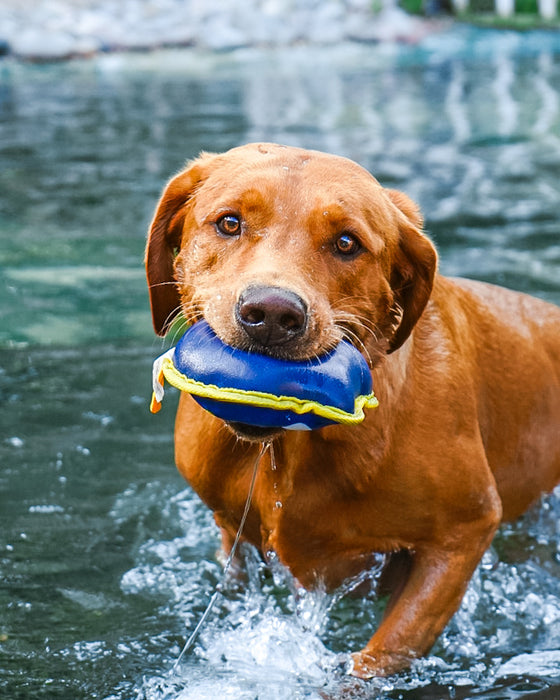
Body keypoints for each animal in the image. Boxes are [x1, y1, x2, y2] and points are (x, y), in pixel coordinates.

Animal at [145, 144, 560, 680]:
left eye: (346, 243)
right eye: (230, 223)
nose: (272, 313)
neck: (290, 450)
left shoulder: (464, 533)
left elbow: (378, 657)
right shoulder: (231, 536)